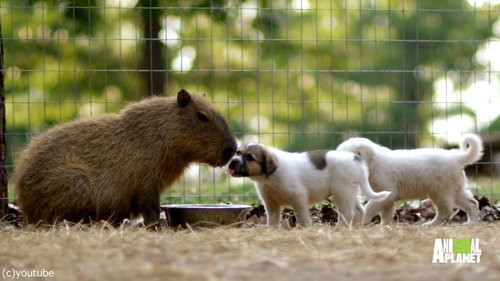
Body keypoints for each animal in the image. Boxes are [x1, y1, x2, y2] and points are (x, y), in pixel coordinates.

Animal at [226, 143, 390, 226]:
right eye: (238, 152)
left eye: (250, 157)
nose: (232, 162)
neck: (269, 178)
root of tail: (356, 159)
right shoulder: (271, 204)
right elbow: (272, 222)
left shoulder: (298, 197)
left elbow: (302, 218)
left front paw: (305, 229)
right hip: (350, 191)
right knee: (360, 210)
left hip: (341, 192)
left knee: (348, 214)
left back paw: (340, 229)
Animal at [338, 133, 482, 225]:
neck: (374, 162)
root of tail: (456, 157)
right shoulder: (387, 198)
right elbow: (386, 214)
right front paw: (384, 227)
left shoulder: (387, 192)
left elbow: (370, 207)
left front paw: (364, 221)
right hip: (455, 190)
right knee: (472, 203)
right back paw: (472, 223)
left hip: (440, 192)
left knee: (445, 211)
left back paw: (430, 224)